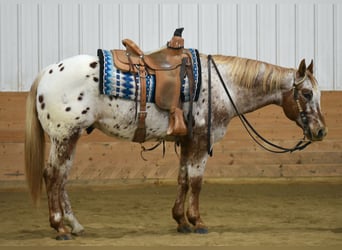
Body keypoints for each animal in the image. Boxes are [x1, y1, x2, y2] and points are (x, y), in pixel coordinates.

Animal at [24, 50, 326, 238]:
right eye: (306, 93)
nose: (321, 131)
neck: (221, 85)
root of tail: (46, 72)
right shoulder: (202, 140)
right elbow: (196, 181)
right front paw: (198, 221)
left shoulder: (187, 141)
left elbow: (183, 179)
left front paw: (181, 220)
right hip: (64, 136)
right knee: (52, 176)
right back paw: (60, 228)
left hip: (70, 137)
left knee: (62, 179)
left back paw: (74, 225)